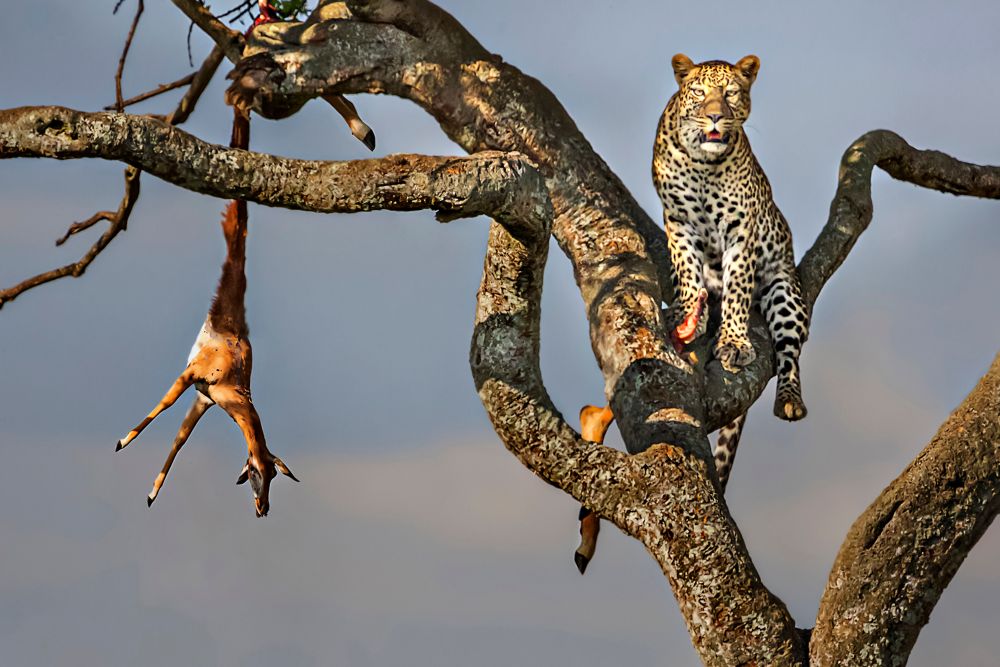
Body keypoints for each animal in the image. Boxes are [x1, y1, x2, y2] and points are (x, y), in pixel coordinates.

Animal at [652, 53, 810, 487]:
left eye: (731, 93)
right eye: (699, 92)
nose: (715, 117)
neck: (705, 164)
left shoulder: (743, 231)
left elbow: (738, 287)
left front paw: (735, 343)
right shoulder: (678, 221)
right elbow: (686, 269)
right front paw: (686, 311)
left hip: (785, 294)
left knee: (790, 354)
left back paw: (790, 401)